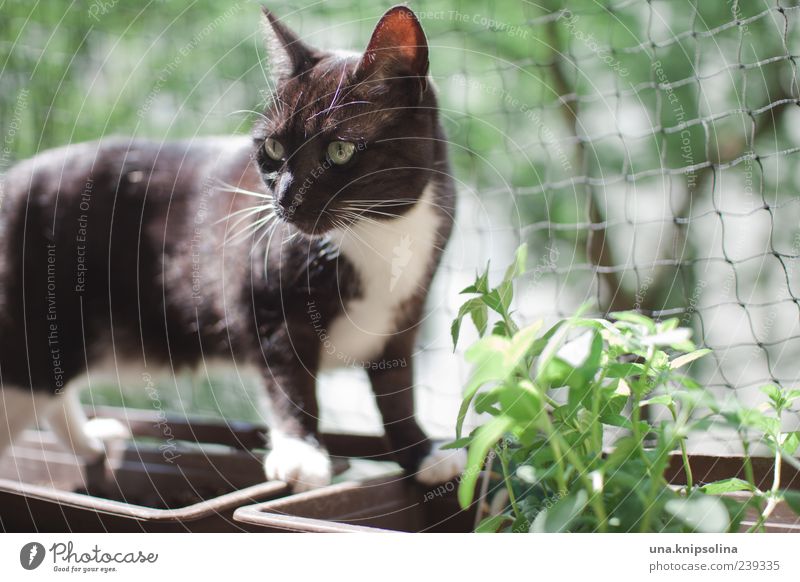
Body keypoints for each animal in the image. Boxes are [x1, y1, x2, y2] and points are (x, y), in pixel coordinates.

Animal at [0, 6, 466, 496]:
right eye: (273, 148)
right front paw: (301, 454)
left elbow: (397, 389)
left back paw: (89, 443)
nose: (286, 199)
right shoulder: (269, 309)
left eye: (340, 150)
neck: (376, 233)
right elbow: (290, 384)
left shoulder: (404, 313)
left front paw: (421, 452)